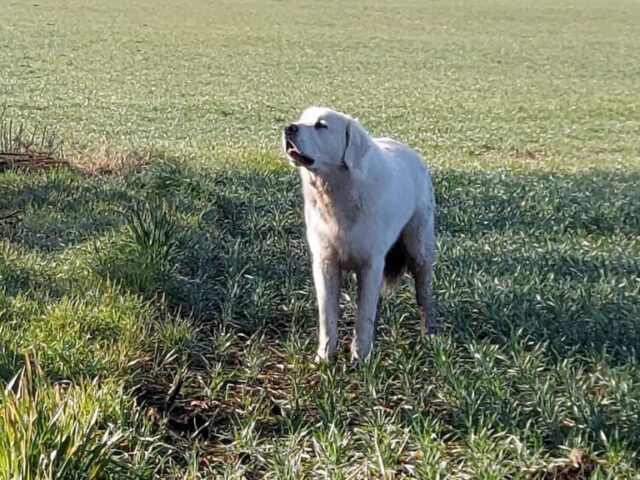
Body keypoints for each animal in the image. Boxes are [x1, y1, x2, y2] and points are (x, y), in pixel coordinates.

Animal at [282, 107, 436, 362]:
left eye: (321, 125)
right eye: (302, 119)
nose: (288, 128)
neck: (337, 196)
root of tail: (411, 152)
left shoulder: (370, 263)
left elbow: (363, 314)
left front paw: (360, 357)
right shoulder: (325, 263)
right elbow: (328, 315)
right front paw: (325, 356)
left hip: (419, 248)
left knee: (423, 294)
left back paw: (430, 334)